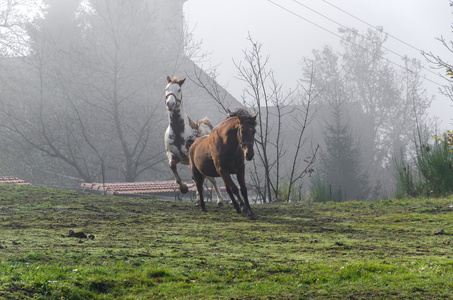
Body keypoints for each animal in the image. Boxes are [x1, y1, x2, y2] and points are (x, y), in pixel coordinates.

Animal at [164, 76, 224, 205]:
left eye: (179, 90)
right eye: (167, 89)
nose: (170, 104)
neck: (179, 131)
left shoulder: (189, 155)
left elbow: (195, 177)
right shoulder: (172, 154)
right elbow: (172, 166)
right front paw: (184, 188)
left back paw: (222, 200)